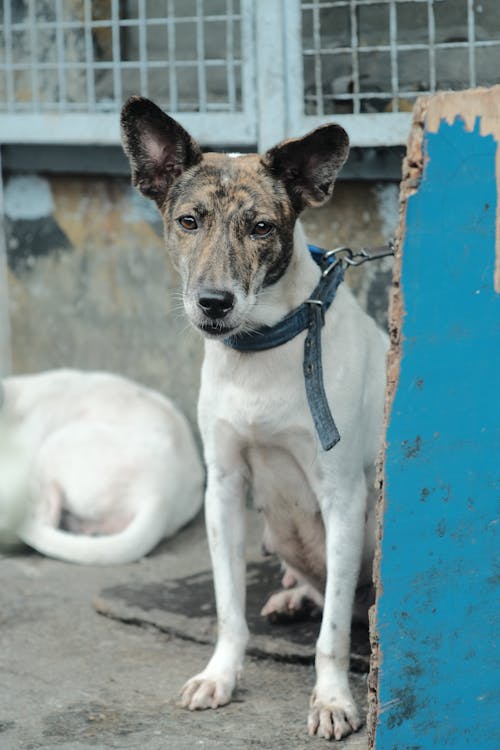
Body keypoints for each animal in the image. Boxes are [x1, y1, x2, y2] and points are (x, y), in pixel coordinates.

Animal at [123, 97, 388, 744]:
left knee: (347, 605)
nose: (213, 303)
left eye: (262, 227)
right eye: (188, 221)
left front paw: (333, 700)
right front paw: (221, 675)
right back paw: (292, 596)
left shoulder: (342, 497)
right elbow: (227, 609)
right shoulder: (223, 487)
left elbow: (332, 636)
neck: (261, 348)